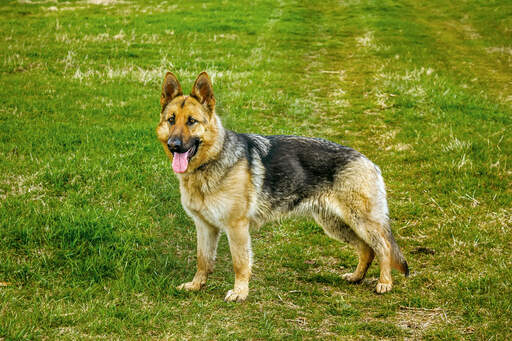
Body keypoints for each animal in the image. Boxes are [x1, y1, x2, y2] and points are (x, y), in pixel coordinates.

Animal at [156, 71, 408, 300]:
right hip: (336, 224)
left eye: (192, 121)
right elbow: (203, 260)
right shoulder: (205, 227)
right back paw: (357, 277)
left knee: (383, 248)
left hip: (360, 222)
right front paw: (197, 285)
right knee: (367, 249)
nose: (174, 145)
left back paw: (385, 283)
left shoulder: (237, 227)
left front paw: (240, 292)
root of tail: (368, 161)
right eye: (171, 120)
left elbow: (240, 262)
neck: (210, 162)